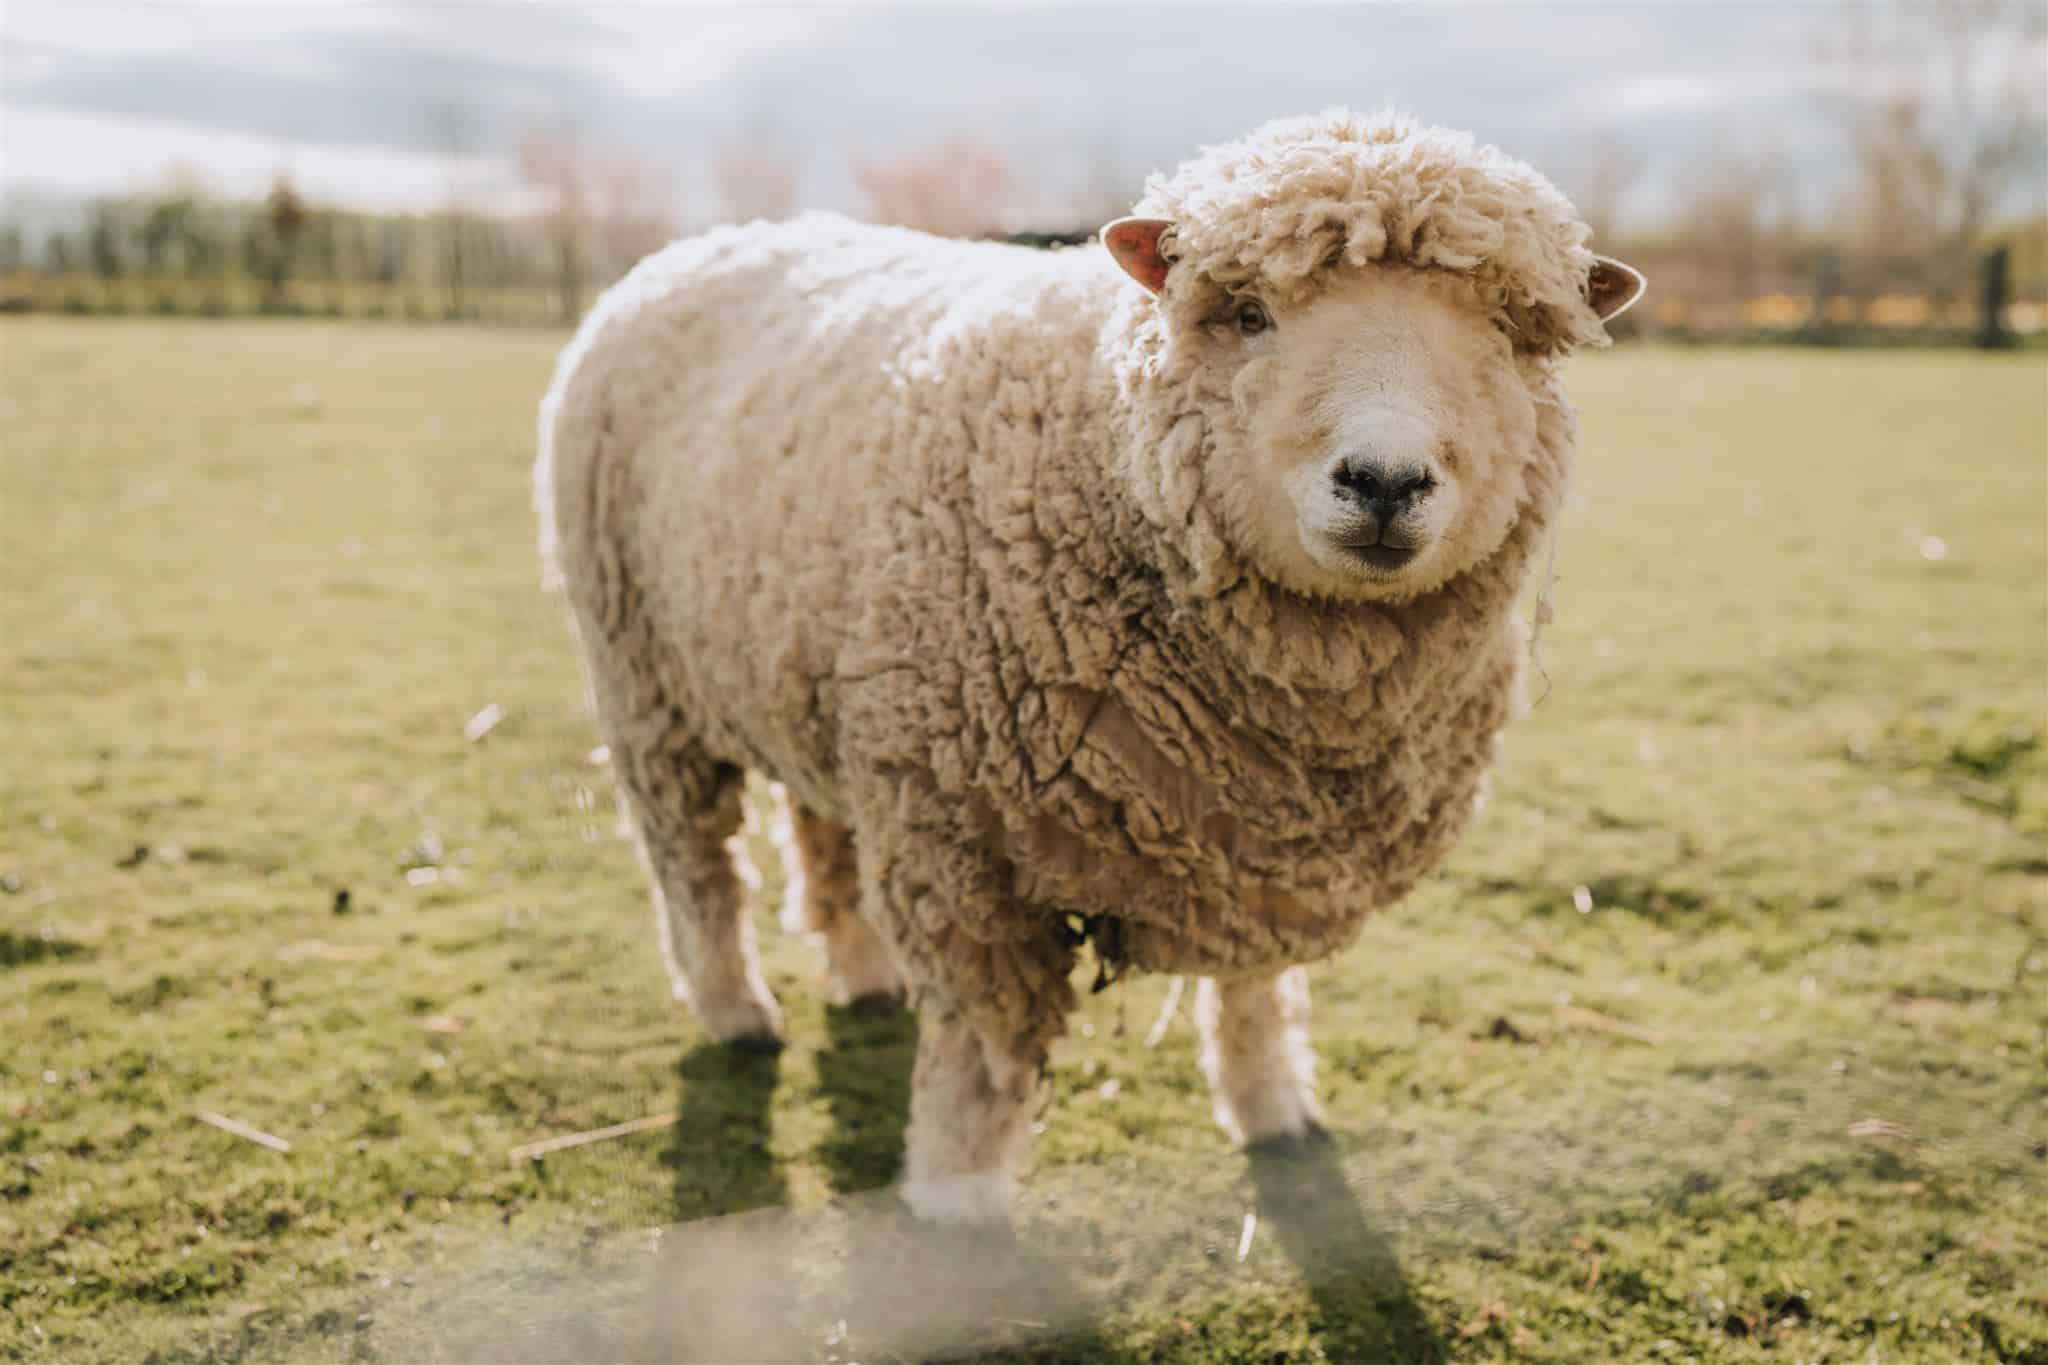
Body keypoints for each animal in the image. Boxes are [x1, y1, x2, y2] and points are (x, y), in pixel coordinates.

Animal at [535, 108, 1643, 1224]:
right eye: (1247, 314)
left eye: (1505, 333)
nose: (1383, 480)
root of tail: (712, 240)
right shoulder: (963, 857)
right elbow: (982, 1061)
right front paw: (958, 1203)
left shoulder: (1261, 849)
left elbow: (1255, 995)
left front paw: (1273, 1109)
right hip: (643, 678)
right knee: (696, 867)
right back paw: (736, 1011)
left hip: (818, 673)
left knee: (821, 834)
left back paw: (863, 975)